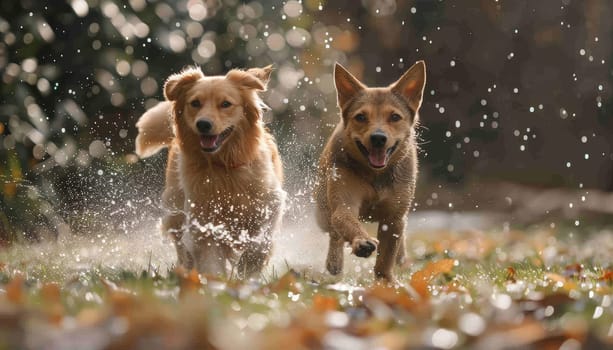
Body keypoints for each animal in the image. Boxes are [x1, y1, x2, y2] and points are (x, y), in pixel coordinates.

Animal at [135, 66, 284, 278]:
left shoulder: (271, 202)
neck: (222, 166)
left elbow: (261, 240)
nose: (203, 124)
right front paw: (215, 281)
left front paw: (249, 266)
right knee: (183, 249)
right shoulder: (203, 223)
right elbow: (210, 260)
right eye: (195, 103)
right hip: (175, 210)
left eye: (226, 104)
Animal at [316, 59, 426, 278]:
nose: (378, 138)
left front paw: (386, 281)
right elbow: (344, 220)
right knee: (334, 233)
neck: (375, 176)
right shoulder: (344, 203)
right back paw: (335, 263)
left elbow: (386, 258)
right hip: (322, 212)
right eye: (360, 117)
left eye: (395, 117)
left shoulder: (393, 219)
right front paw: (362, 242)